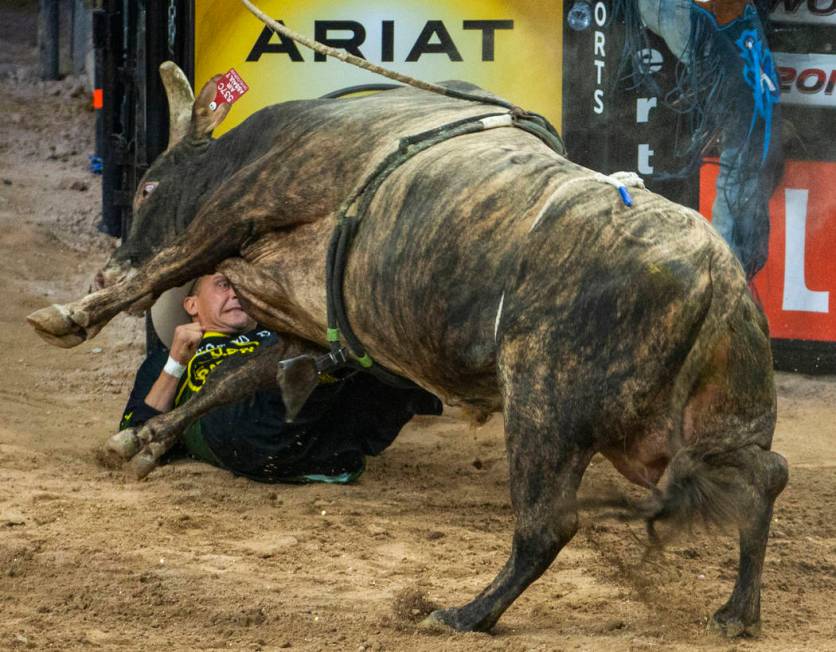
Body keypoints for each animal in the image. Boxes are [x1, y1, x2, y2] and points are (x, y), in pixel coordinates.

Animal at [26, 59, 784, 632]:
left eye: (148, 185)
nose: (107, 267)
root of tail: (716, 275)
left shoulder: (245, 207)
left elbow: (169, 267)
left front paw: (70, 316)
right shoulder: (302, 325)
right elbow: (232, 381)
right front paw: (142, 439)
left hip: (546, 409)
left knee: (547, 526)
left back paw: (465, 614)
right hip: (691, 428)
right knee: (763, 477)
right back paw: (737, 613)